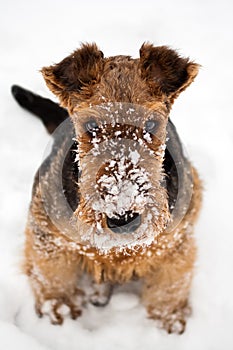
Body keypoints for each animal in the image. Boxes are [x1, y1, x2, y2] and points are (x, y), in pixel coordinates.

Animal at [12, 43, 202, 334]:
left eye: (151, 124)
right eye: (91, 125)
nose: (123, 217)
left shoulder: (176, 241)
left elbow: (170, 284)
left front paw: (168, 318)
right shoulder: (47, 231)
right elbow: (53, 276)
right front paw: (60, 308)